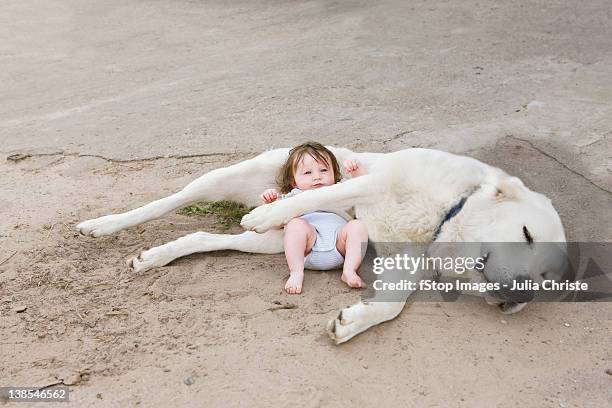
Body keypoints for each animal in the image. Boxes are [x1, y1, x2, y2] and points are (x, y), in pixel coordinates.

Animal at [77, 147, 568, 344]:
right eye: (527, 234)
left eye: (546, 279)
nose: (517, 299)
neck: (446, 211)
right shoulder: (371, 183)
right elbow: (319, 193)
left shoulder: (404, 266)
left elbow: (390, 307)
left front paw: (352, 322)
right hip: (220, 179)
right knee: (168, 202)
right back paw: (101, 225)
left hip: (274, 245)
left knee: (204, 237)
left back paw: (156, 256)